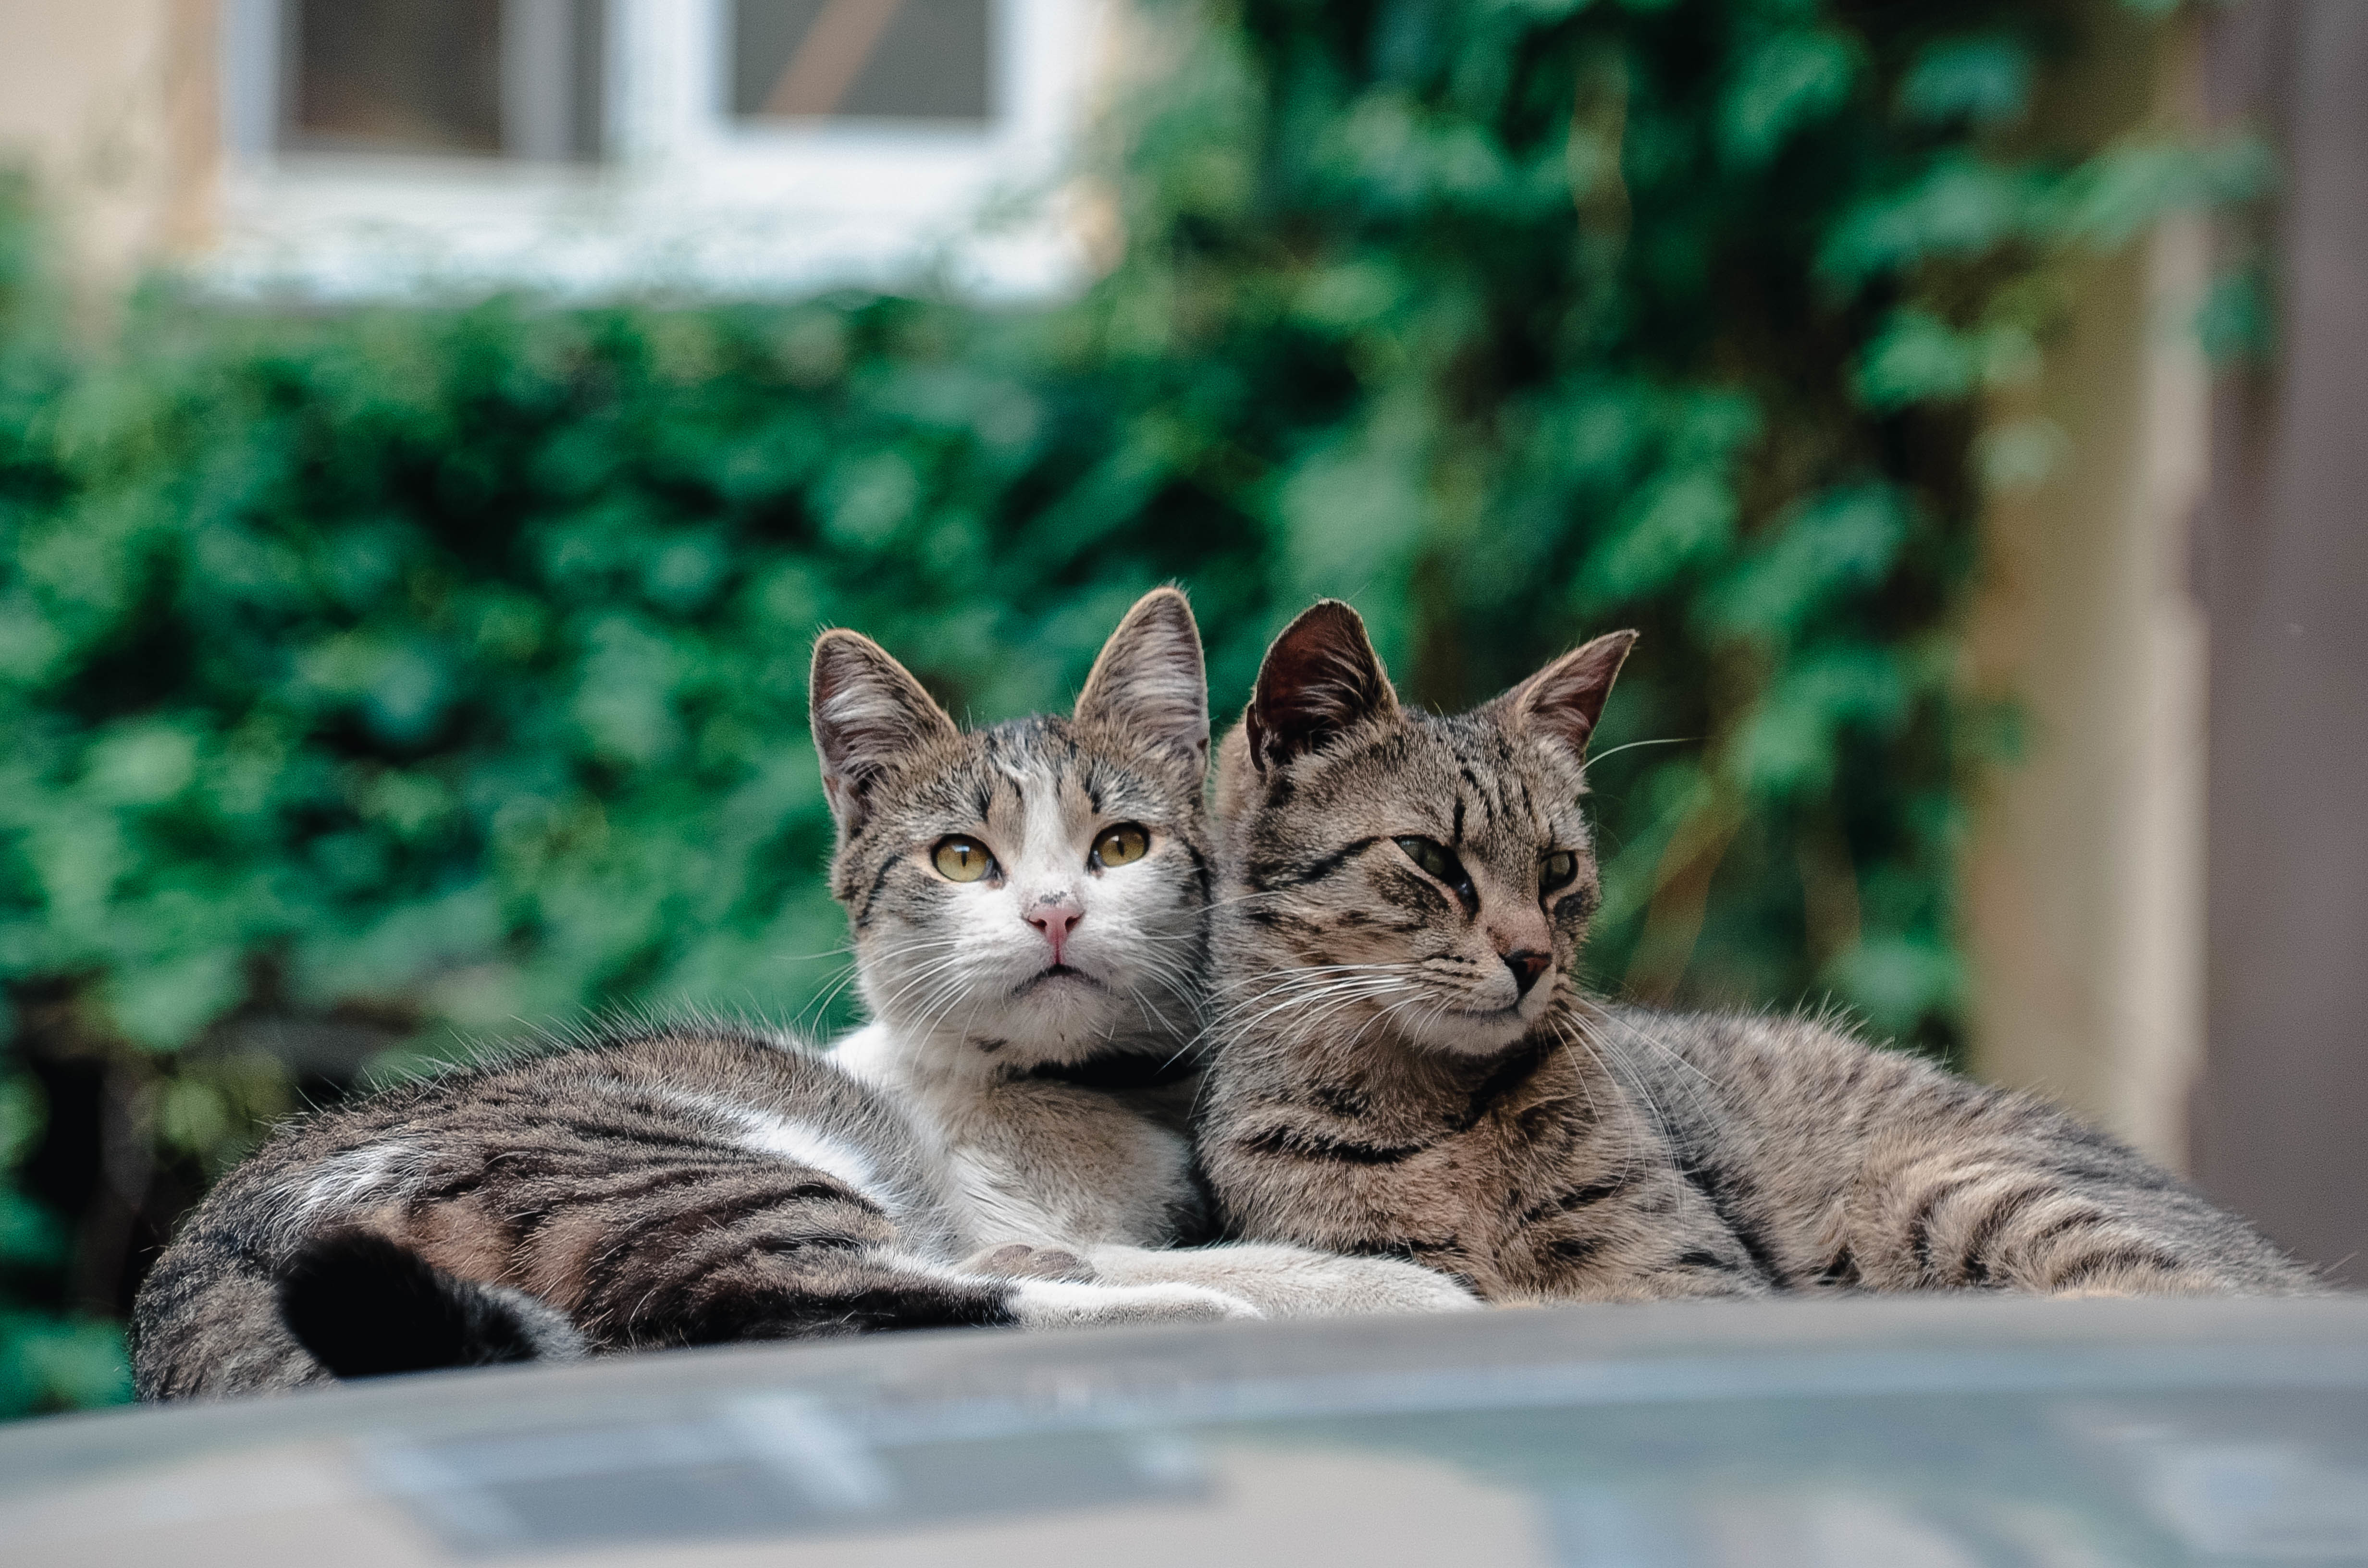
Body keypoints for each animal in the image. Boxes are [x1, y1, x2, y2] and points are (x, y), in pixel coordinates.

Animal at [814, 587, 1468, 1317]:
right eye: (960, 858)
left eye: (1122, 845)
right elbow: (1213, 1266)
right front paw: (1404, 1288)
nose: (1055, 912)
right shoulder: (1018, 1234)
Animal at [1193, 599, 2320, 1298]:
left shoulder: (1680, 1270)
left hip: (1946, 1187)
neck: (1436, 1108)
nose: (1530, 958)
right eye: (1430, 857)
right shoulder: (1383, 1260)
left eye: (1558, 869)